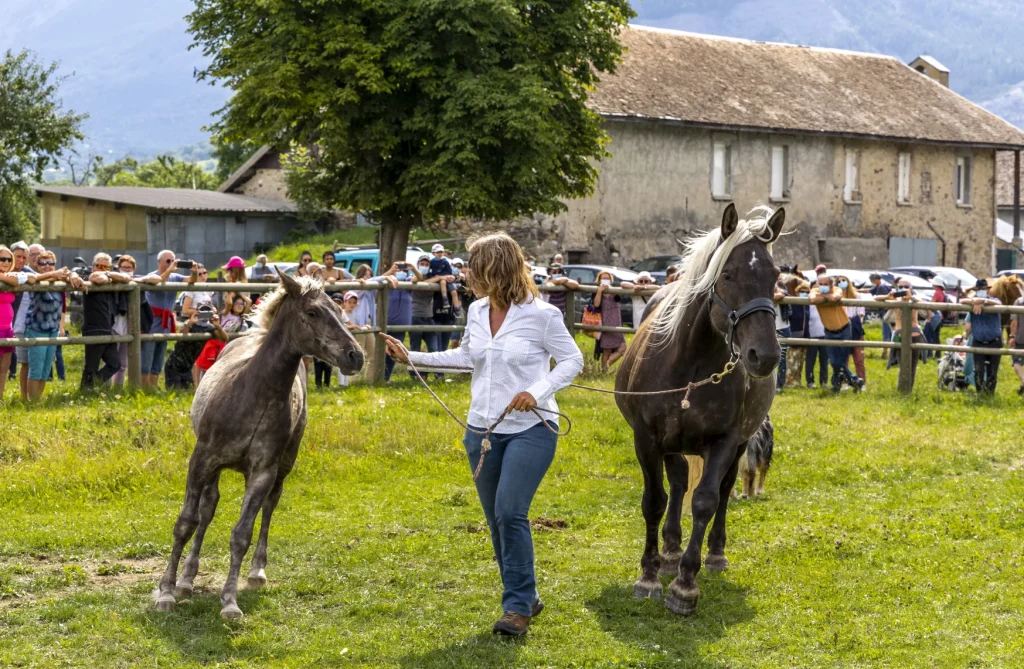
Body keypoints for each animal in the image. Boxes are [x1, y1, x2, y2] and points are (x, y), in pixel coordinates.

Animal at [614, 203, 782, 614]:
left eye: (775, 275)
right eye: (728, 273)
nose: (764, 355)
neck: (691, 362)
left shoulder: (724, 442)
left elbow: (706, 501)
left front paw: (685, 585)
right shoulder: (647, 440)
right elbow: (654, 502)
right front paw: (649, 575)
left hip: (738, 445)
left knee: (724, 488)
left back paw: (713, 554)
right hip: (672, 444)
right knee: (675, 482)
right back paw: (670, 550)